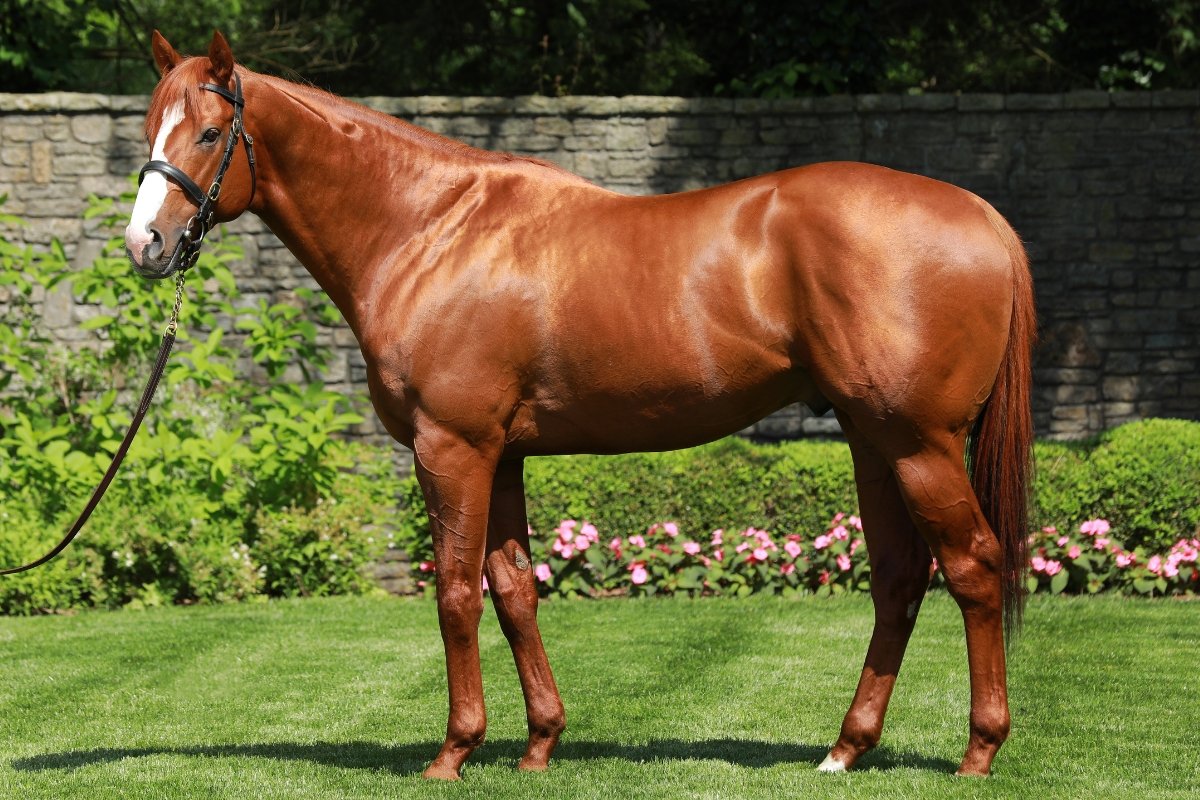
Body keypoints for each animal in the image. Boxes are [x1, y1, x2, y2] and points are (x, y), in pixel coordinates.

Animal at [125, 31, 1035, 780]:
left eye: (209, 133)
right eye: (149, 130)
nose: (145, 245)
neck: (429, 230)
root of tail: (985, 217)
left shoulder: (450, 447)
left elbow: (456, 593)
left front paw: (454, 752)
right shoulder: (502, 455)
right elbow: (513, 589)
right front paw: (538, 743)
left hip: (919, 443)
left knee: (973, 568)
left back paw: (979, 750)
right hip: (871, 440)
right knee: (899, 579)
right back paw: (847, 748)